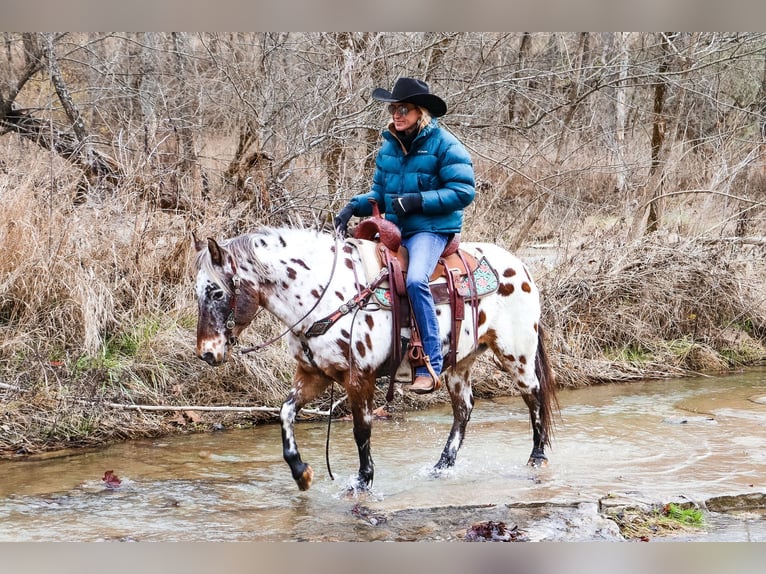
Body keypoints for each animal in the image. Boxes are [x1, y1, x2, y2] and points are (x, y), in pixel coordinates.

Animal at [195, 227, 560, 492]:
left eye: (216, 292)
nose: (207, 353)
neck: (325, 296)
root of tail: (520, 266)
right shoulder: (314, 375)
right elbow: (285, 413)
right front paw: (302, 472)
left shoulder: (359, 377)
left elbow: (361, 430)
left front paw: (362, 480)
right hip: (460, 363)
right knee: (464, 410)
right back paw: (441, 467)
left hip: (517, 355)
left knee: (534, 396)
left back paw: (537, 458)